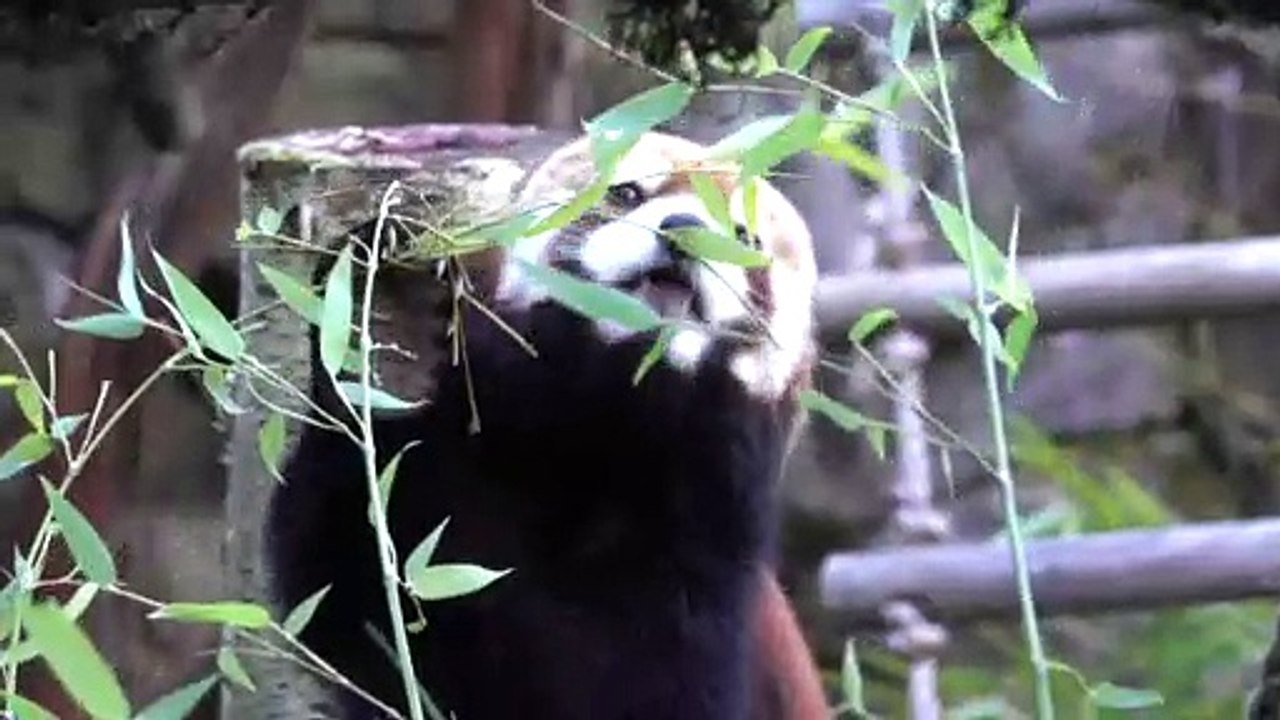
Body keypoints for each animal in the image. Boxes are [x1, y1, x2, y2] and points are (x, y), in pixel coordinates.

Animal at [265, 131, 828, 719]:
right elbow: (343, 575)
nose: (684, 228)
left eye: (745, 237)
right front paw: (391, 317)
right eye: (627, 193)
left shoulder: (708, 556)